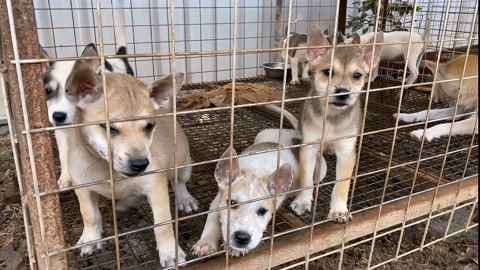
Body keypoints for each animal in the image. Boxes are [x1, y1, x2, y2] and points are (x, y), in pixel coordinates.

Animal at [42, 24, 134, 189]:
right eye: (48, 91)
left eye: (81, 89)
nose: (58, 116)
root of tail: (119, 55)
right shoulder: (62, 132)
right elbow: (64, 154)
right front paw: (65, 177)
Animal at [192, 125, 300, 256]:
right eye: (232, 203)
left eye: (262, 210)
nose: (242, 238)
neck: (255, 171)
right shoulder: (217, 201)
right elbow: (212, 220)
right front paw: (205, 243)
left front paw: (236, 249)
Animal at [288, 24, 386, 220]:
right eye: (328, 72)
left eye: (357, 75)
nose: (342, 92)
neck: (331, 118)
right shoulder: (309, 148)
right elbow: (306, 179)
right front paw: (303, 201)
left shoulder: (347, 152)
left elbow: (341, 184)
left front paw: (339, 209)